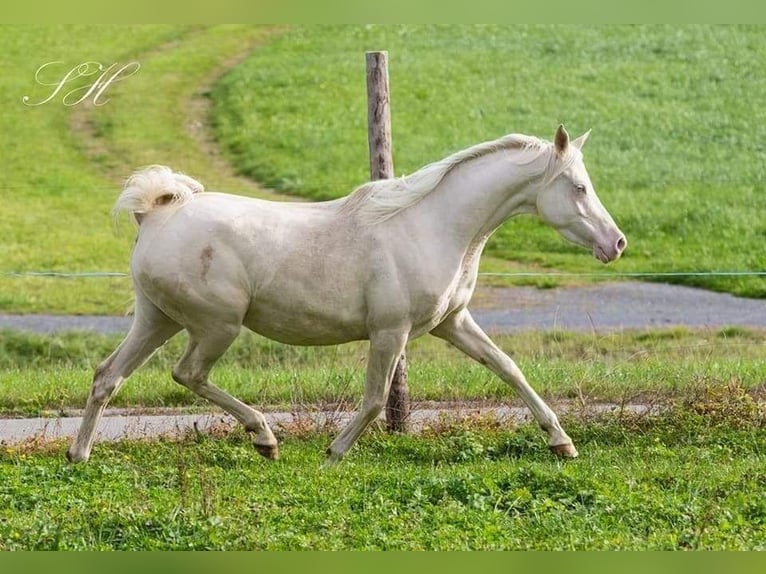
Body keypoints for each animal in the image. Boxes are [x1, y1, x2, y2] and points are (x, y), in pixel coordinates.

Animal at [66, 127, 628, 468]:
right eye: (578, 187)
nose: (617, 243)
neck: (432, 225)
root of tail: (155, 214)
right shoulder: (390, 332)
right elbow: (376, 399)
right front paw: (333, 453)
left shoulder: (453, 322)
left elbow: (509, 369)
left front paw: (562, 442)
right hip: (215, 325)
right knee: (188, 374)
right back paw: (265, 438)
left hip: (157, 319)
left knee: (108, 376)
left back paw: (80, 455)